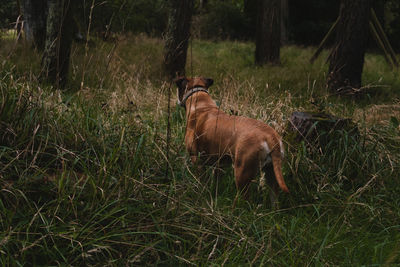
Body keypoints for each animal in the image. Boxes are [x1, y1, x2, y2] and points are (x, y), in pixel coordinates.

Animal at [175, 77, 288, 207]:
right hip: (272, 175)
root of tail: (271, 136)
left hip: (242, 175)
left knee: (246, 200)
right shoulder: (220, 165)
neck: (201, 103)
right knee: (274, 200)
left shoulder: (197, 161)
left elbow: (201, 182)